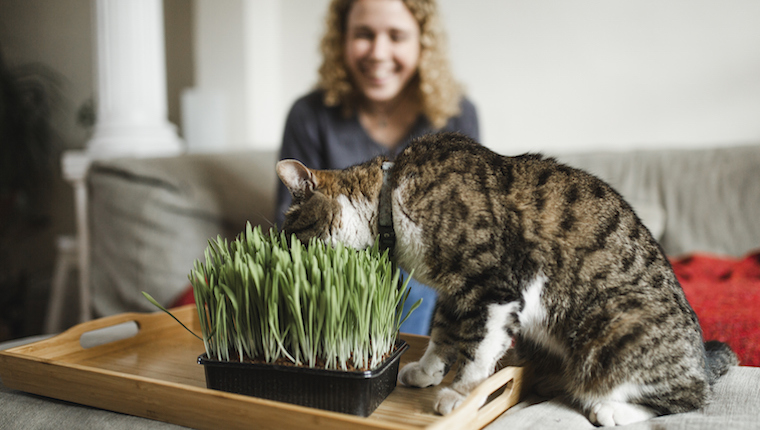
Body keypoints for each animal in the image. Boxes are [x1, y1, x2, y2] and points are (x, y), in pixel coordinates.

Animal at [278, 132, 736, 426]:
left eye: (293, 233)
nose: (288, 254)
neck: (392, 196)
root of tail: (701, 357)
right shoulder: (454, 292)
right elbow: (444, 334)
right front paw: (425, 371)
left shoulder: (494, 286)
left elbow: (479, 349)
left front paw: (460, 395)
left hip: (613, 324)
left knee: (690, 397)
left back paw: (612, 410)